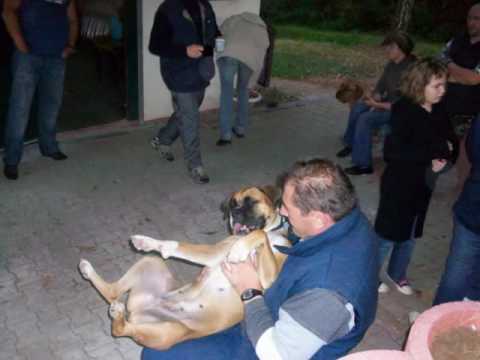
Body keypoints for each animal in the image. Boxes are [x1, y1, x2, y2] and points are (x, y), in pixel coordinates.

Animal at [78, 187, 288, 350]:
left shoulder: (270, 278)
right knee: (113, 297)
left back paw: (117, 312)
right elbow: (179, 246)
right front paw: (148, 242)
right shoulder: (215, 254)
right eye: (232, 204)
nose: (234, 213)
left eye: (251, 201)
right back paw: (90, 273)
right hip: (152, 264)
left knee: (119, 327)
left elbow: (259, 235)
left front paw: (240, 249)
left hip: (168, 331)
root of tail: (140, 309)